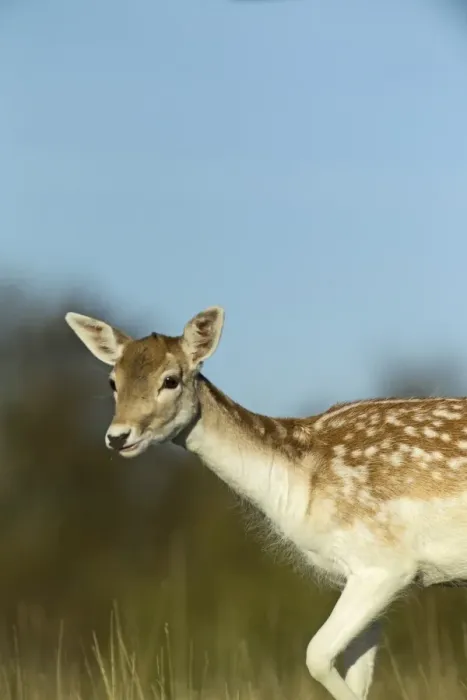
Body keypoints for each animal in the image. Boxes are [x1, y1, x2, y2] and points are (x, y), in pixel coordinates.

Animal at [65, 305, 467, 700]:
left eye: (171, 380)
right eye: (112, 381)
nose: (118, 437)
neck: (299, 487)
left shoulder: (386, 562)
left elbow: (315, 656)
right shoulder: (357, 574)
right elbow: (354, 675)